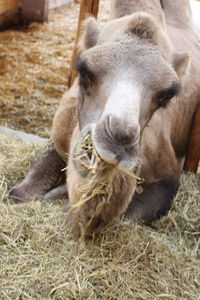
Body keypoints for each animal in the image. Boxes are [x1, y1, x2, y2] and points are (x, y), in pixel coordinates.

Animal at [10, 0, 200, 234]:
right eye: (84, 71)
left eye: (167, 95)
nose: (120, 136)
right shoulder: (59, 137)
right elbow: (20, 193)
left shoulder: (167, 176)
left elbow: (126, 216)